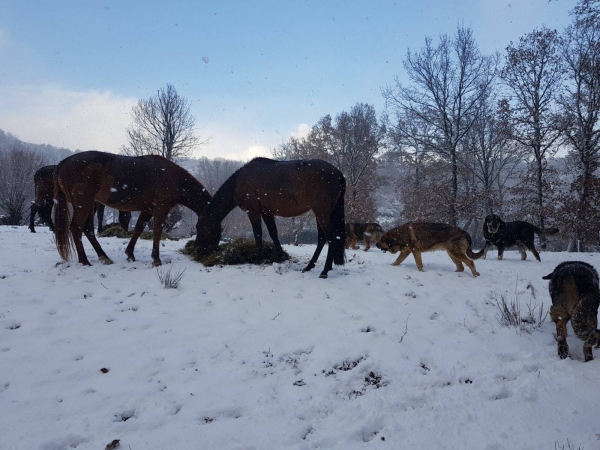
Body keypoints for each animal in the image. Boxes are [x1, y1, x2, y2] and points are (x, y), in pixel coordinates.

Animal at [54, 151, 212, 266]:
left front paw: (130, 254)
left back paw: (103, 256)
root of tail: (63, 162)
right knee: (76, 228)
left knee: (87, 229)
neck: (174, 178)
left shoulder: (148, 209)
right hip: (84, 203)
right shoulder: (162, 207)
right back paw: (84, 260)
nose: (203, 250)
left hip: (89, 204)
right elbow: (157, 230)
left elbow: (138, 229)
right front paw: (156, 259)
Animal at [197, 157, 346, 278]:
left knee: (331, 238)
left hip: (321, 212)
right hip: (321, 213)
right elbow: (273, 233)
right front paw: (280, 258)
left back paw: (324, 271)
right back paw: (309, 267)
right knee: (322, 239)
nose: (199, 250)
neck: (239, 181)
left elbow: (258, 234)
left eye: (198, 227)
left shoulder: (253, 211)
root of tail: (338, 173)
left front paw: (258, 259)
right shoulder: (266, 212)